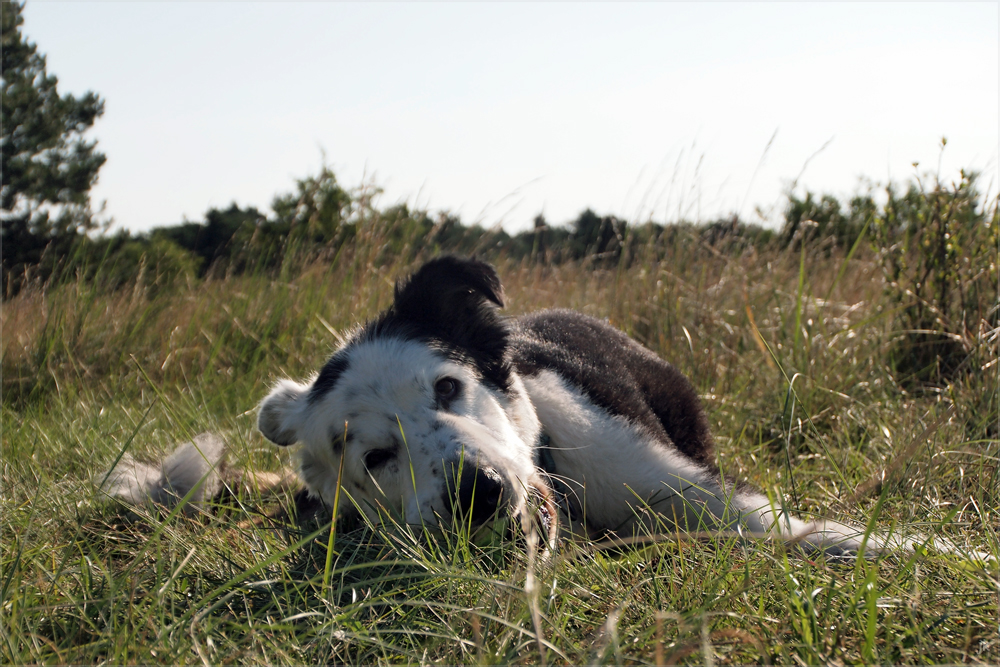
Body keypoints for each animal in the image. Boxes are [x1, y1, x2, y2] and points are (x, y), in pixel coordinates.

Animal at [103, 256, 984, 560]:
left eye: (448, 386)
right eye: (376, 456)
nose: (480, 494)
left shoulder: (722, 503)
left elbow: (829, 537)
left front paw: (948, 553)